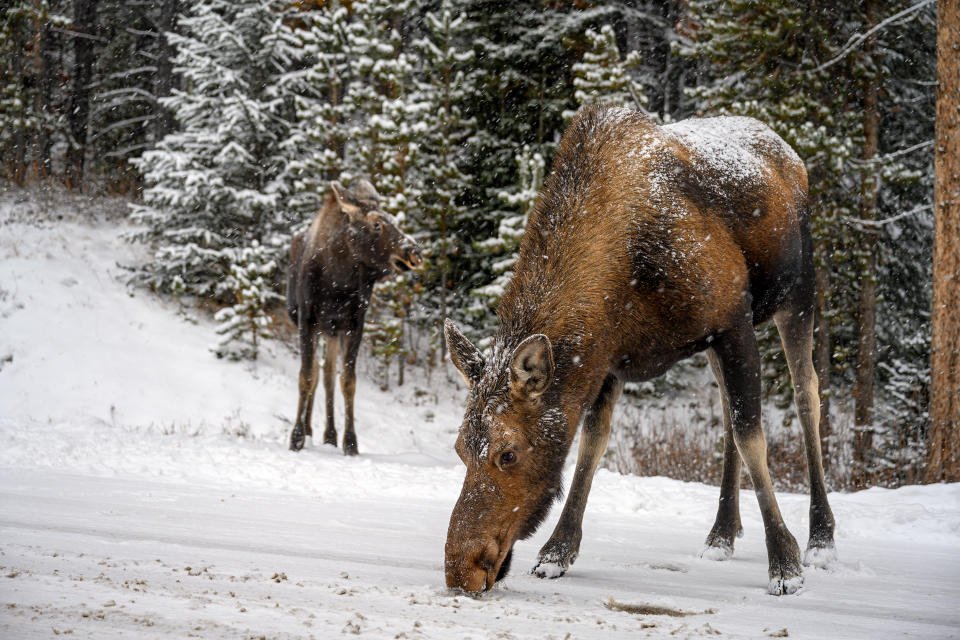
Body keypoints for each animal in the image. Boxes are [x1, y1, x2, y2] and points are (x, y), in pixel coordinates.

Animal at [284, 180, 420, 456]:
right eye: (377, 224)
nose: (414, 251)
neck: (338, 283)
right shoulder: (307, 320)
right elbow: (306, 376)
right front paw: (296, 437)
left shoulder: (353, 324)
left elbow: (347, 381)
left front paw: (350, 442)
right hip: (316, 327)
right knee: (317, 373)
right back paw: (309, 431)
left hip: (332, 332)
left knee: (327, 375)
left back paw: (329, 435)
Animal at [446, 105, 836, 596]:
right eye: (459, 448)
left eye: (508, 453)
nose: (460, 569)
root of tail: (789, 152)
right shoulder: (610, 360)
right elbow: (592, 445)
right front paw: (557, 551)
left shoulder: (732, 321)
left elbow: (754, 437)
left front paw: (784, 563)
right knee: (727, 411)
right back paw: (722, 532)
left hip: (799, 292)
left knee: (806, 394)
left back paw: (821, 537)